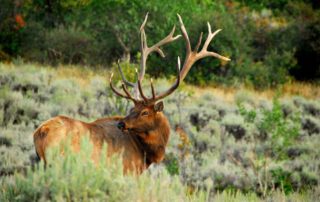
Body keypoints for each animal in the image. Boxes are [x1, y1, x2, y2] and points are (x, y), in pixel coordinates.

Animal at [33, 13, 230, 174]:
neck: (147, 155)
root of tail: (40, 132)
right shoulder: (127, 171)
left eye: (144, 111)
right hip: (59, 162)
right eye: (133, 109)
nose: (121, 123)